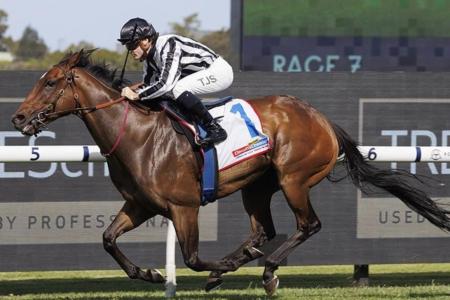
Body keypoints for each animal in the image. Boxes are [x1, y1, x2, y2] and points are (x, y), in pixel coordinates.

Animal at [10, 50, 450, 294]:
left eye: (50, 82)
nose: (18, 118)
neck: (137, 135)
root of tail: (322, 119)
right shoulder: (140, 205)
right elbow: (107, 240)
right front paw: (149, 273)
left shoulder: (183, 207)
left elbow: (191, 258)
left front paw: (214, 271)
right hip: (255, 187)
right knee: (263, 231)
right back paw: (247, 258)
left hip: (293, 178)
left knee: (307, 225)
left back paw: (267, 270)